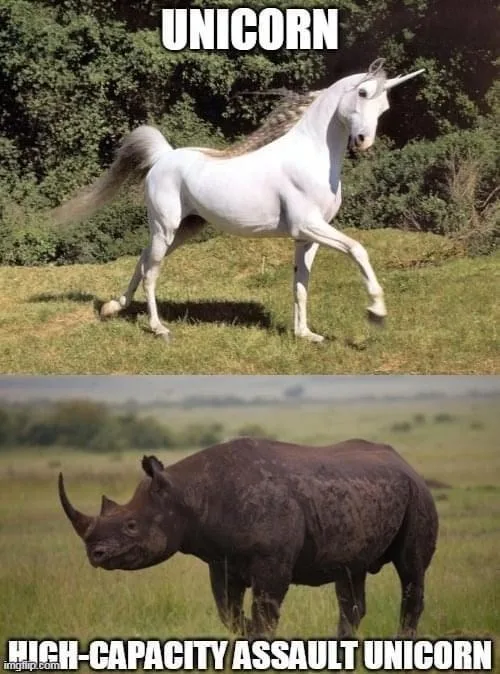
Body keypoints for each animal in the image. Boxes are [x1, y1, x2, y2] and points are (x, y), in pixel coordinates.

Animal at [58, 437, 438, 637]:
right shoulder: (221, 560)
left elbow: (264, 615)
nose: (96, 554)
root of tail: (407, 463)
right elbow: (230, 614)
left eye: (131, 526)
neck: (188, 495)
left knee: (411, 569)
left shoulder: (273, 562)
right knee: (350, 576)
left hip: (418, 494)